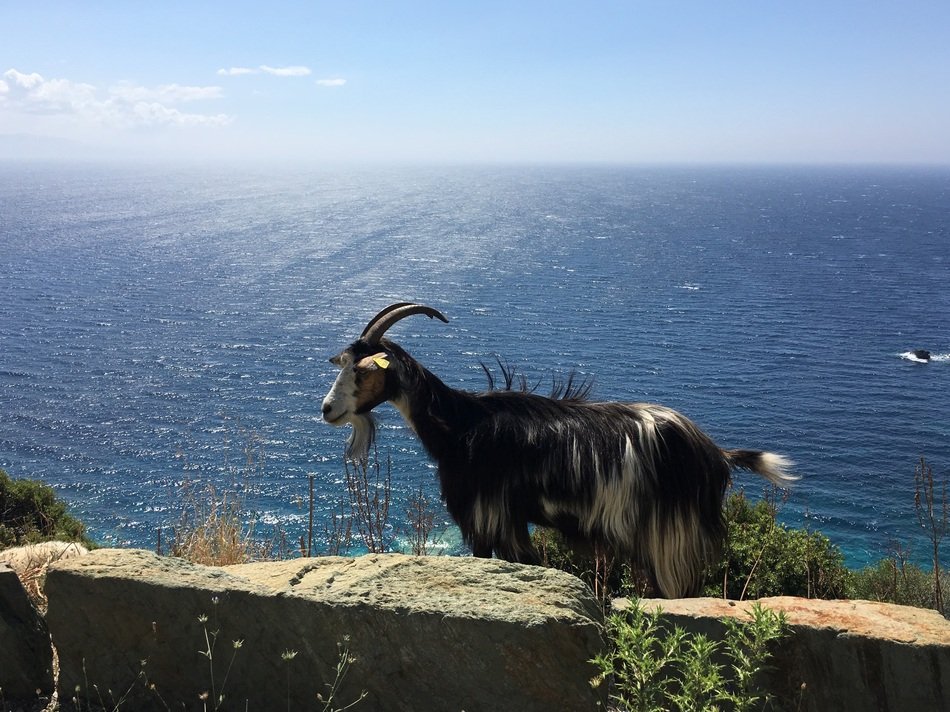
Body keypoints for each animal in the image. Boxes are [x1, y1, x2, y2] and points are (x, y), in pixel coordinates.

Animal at [321, 302, 795, 597]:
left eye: (363, 371)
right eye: (343, 365)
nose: (327, 410)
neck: (461, 426)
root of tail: (713, 452)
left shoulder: (486, 514)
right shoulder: (509, 518)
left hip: (669, 535)